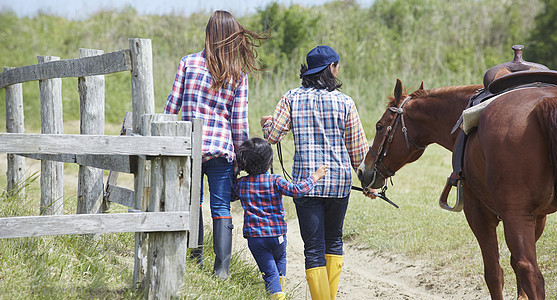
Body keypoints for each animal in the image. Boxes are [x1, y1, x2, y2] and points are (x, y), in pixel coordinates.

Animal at [356, 78, 556, 298]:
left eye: (380, 126)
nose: (362, 170)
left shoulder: (478, 213)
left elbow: (494, 274)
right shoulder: (538, 217)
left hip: (515, 216)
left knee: (530, 273)